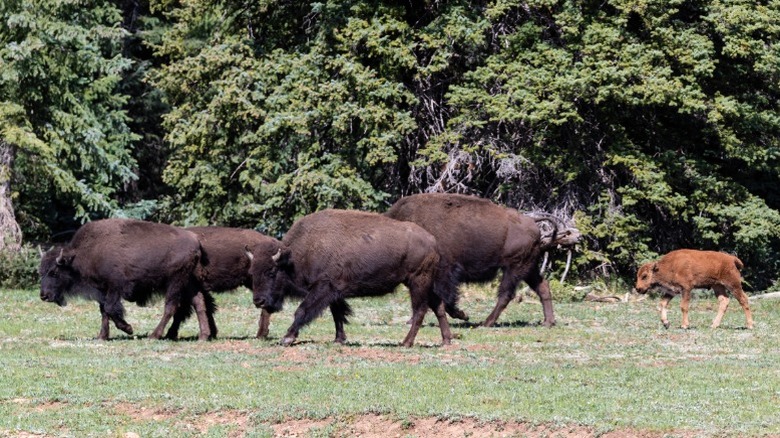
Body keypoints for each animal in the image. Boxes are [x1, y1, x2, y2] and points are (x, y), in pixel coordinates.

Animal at [39, 218, 204, 338]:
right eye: (41, 272)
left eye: (54, 272)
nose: (44, 296)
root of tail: (195, 241)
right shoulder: (102, 290)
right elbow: (104, 311)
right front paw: (102, 336)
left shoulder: (115, 287)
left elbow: (110, 308)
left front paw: (128, 329)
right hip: (187, 283)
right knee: (196, 302)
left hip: (175, 282)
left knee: (171, 307)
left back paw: (154, 335)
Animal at [247, 207, 454, 348]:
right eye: (252, 272)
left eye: (271, 272)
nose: (258, 301)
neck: (294, 257)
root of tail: (432, 241)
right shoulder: (334, 293)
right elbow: (337, 315)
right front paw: (339, 339)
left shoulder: (323, 288)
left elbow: (302, 310)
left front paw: (287, 337)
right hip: (426, 284)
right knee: (438, 307)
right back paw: (446, 340)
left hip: (417, 282)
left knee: (420, 310)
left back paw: (406, 343)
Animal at [384, 193, 580, 326]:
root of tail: (533, 226)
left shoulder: (445, 272)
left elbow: (446, 297)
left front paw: (463, 315)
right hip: (528, 268)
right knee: (542, 286)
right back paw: (548, 322)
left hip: (514, 268)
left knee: (506, 294)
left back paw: (486, 323)